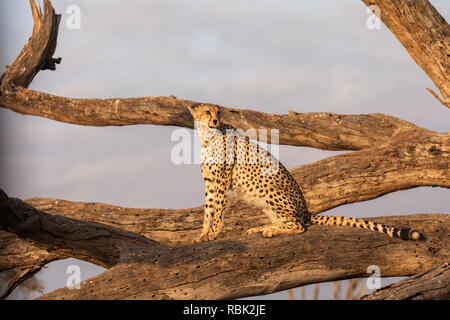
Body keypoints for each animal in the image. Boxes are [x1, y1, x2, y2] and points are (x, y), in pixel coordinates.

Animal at [186, 103, 418, 242]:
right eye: (207, 112)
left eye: (218, 112)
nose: (215, 120)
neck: (207, 135)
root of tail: (306, 210)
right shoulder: (210, 181)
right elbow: (208, 209)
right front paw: (202, 234)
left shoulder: (221, 180)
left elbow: (218, 209)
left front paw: (212, 234)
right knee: (288, 222)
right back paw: (263, 227)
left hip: (272, 191)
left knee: (299, 226)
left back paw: (270, 230)